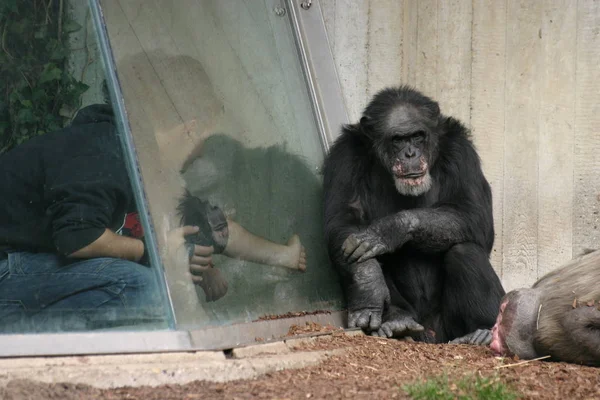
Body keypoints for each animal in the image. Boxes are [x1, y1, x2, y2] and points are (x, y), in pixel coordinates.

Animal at [324, 85, 506, 344]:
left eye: (418, 136)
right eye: (398, 139)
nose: (410, 154)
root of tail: (429, 335)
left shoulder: (461, 151)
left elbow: (474, 215)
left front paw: (387, 231)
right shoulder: (345, 156)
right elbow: (343, 218)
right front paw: (368, 284)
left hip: (447, 329)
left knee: (464, 251)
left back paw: (482, 333)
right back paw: (396, 321)